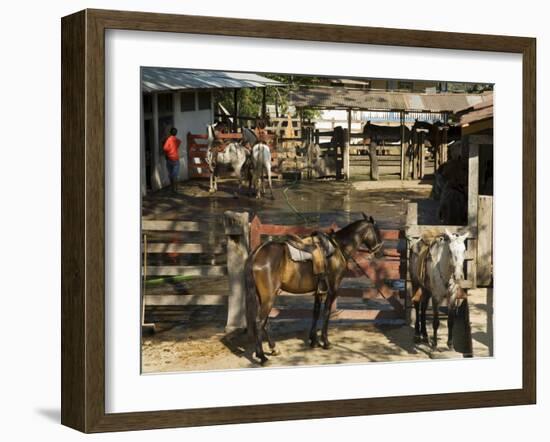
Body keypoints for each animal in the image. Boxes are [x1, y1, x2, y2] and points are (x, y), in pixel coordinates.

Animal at [246, 213, 384, 362]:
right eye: (377, 231)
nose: (381, 252)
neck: (338, 248)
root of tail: (257, 253)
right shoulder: (332, 290)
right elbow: (326, 313)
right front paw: (325, 342)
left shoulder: (319, 290)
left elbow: (315, 313)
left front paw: (314, 340)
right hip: (269, 297)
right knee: (259, 322)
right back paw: (261, 356)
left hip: (263, 297)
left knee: (265, 322)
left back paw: (273, 348)